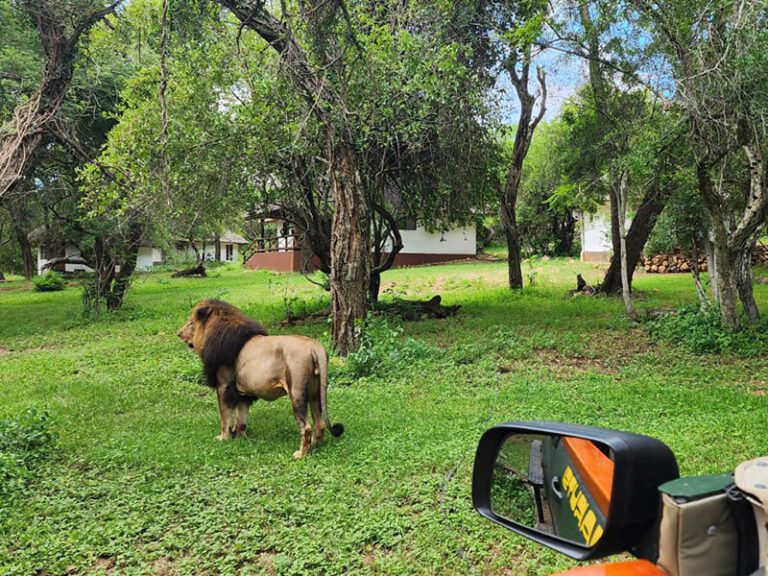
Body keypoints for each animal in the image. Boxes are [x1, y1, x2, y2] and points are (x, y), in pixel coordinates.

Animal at [177, 299, 344, 458]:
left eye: (190, 323)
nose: (178, 333)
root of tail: (314, 347)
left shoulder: (224, 385)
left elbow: (225, 416)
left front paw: (223, 438)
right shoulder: (243, 392)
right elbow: (241, 419)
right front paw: (240, 438)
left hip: (297, 393)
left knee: (307, 427)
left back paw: (301, 454)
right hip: (315, 393)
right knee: (319, 424)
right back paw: (314, 447)